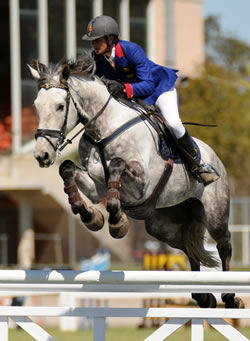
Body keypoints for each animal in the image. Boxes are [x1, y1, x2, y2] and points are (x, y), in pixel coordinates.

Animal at [28, 52, 243, 308]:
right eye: (36, 106)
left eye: (60, 106)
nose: (42, 155)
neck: (103, 130)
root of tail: (215, 157)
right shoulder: (96, 187)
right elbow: (68, 169)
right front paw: (93, 217)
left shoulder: (141, 182)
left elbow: (116, 166)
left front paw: (117, 222)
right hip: (163, 226)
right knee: (188, 245)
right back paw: (203, 295)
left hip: (214, 212)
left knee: (224, 243)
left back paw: (230, 296)